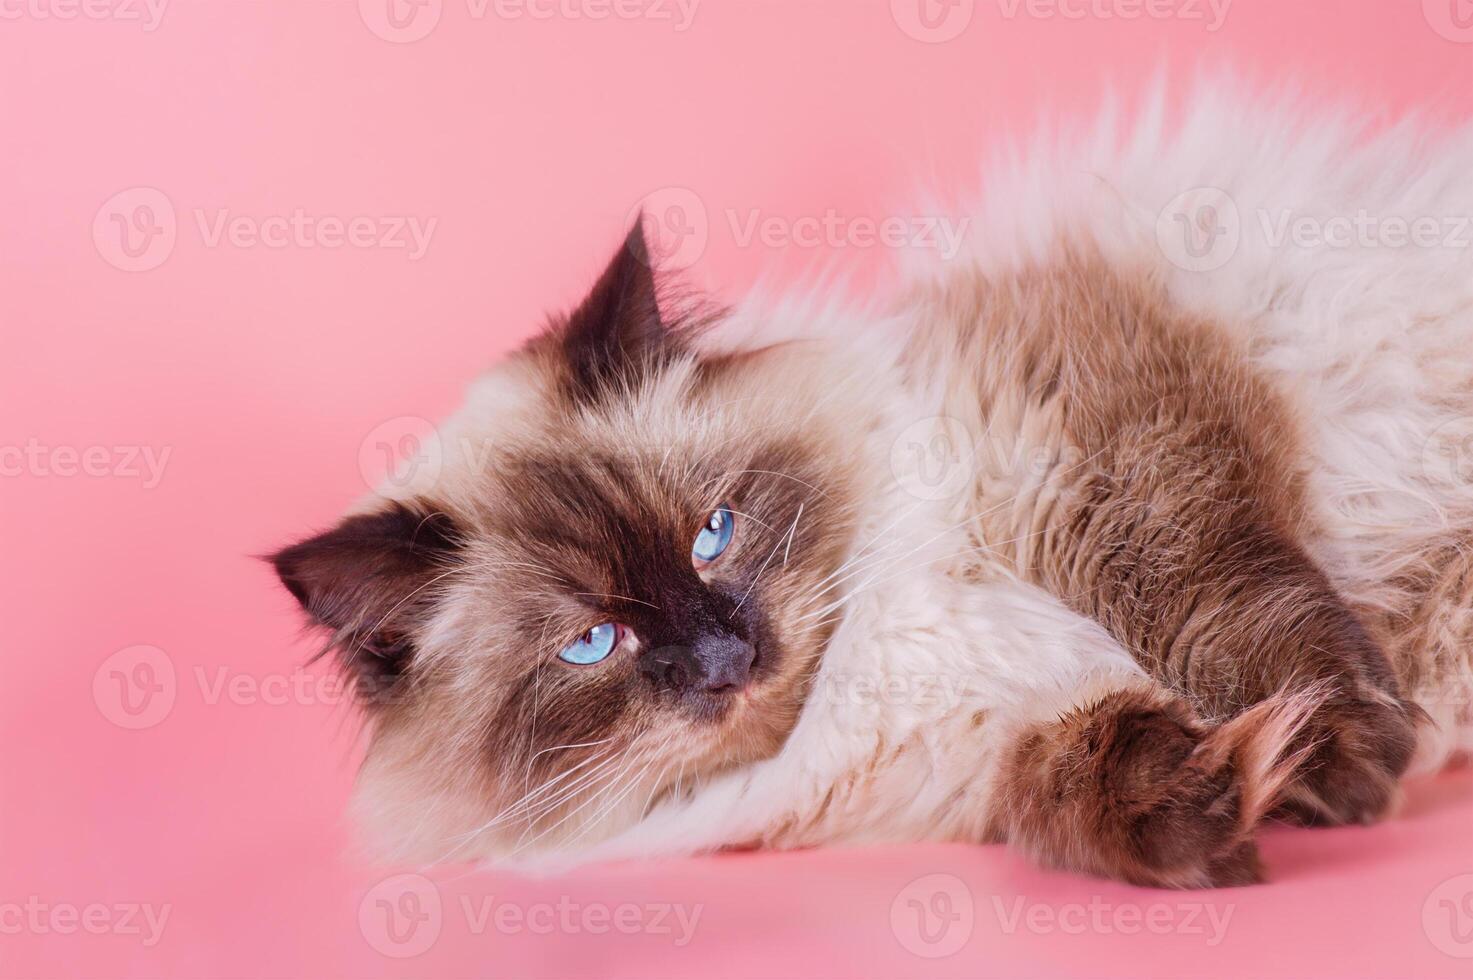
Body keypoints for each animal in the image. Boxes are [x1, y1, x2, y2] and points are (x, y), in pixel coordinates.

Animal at [273, 85, 1473, 884]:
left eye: (713, 533)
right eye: (591, 644)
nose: (728, 659)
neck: (869, 664)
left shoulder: (1079, 453)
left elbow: (1215, 603)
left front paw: (1347, 747)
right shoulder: (993, 752)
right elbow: (1075, 784)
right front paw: (1245, 790)